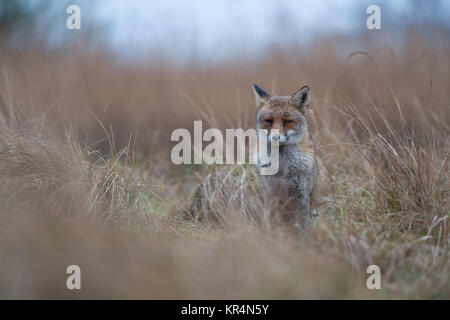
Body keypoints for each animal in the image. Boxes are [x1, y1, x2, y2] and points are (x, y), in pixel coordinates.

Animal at [253, 84, 330, 229]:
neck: (282, 168)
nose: (275, 137)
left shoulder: (302, 194)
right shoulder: (270, 193)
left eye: (288, 121)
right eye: (268, 121)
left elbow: (303, 225)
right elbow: (268, 222)